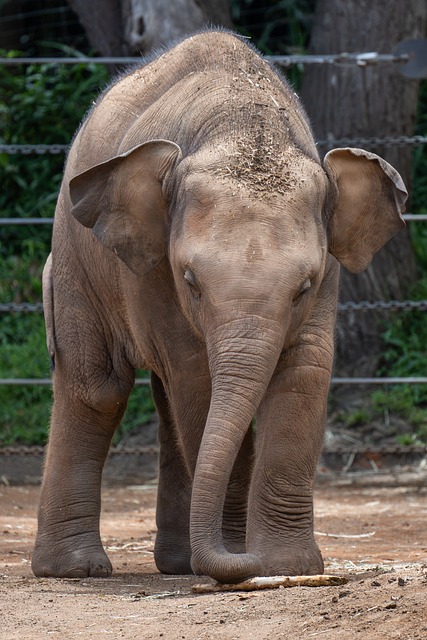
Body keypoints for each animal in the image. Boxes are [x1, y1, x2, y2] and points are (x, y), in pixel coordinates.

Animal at [30, 30, 408, 584]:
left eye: (305, 286)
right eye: (190, 281)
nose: (243, 560)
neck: (242, 126)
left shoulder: (330, 271)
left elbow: (304, 372)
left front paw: (286, 564)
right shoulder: (155, 275)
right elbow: (197, 381)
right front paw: (242, 558)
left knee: (161, 405)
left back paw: (176, 564)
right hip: (75, 251)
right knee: (96, 389)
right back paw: (76, 571)